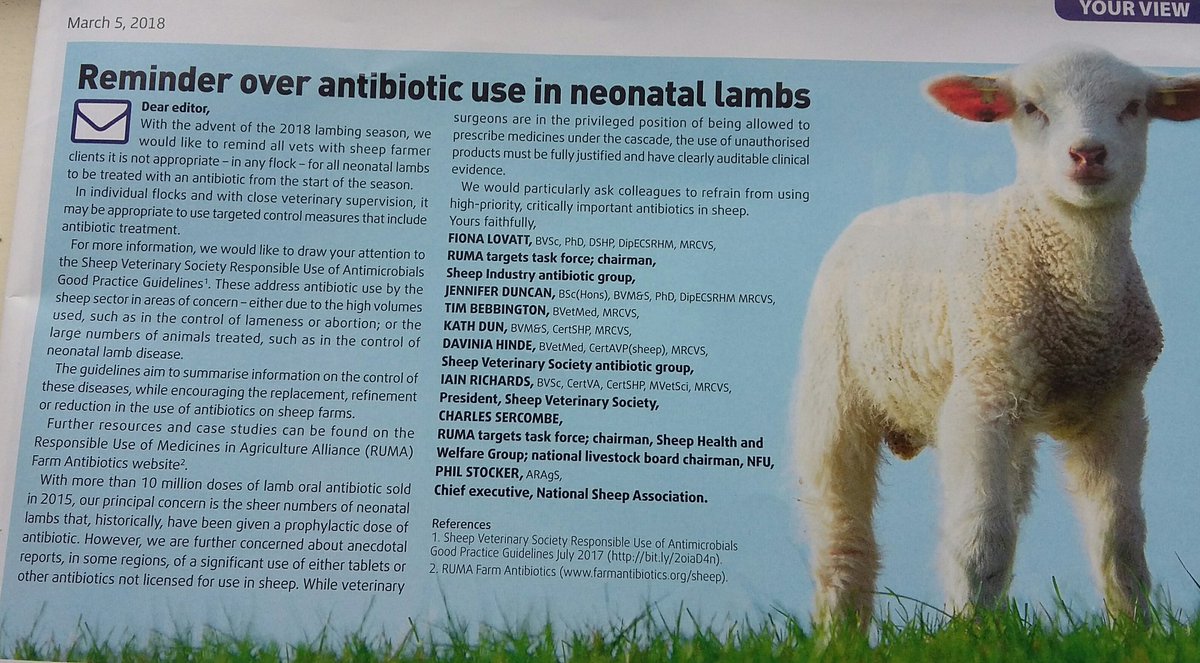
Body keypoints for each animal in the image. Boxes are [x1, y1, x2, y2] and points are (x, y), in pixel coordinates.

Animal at [792, 46, 1200, 629]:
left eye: (1133, 106)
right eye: (1031, 107)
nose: (1087, 154)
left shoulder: (1118, 405)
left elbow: (1119, 538)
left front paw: (1134, 630)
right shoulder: (980, 398)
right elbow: (980, 537)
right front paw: (968, 632)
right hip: (834, 385)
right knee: (841, 530)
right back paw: (839, 632)